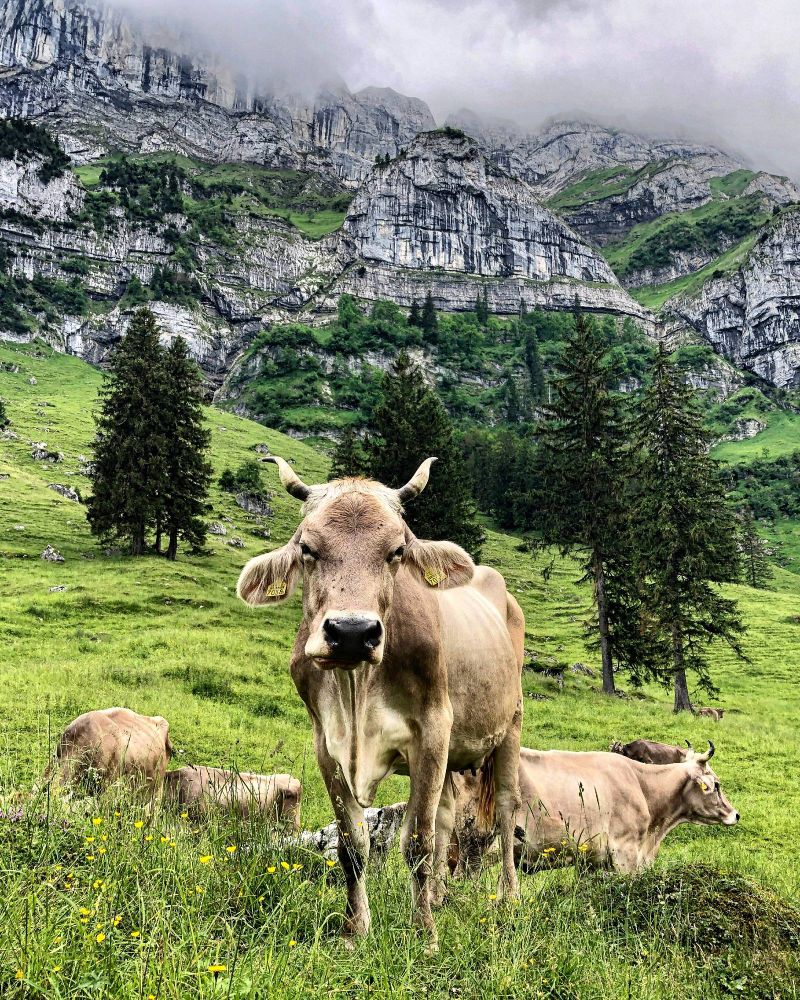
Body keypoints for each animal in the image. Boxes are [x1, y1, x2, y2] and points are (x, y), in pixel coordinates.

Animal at [237, 457, 525, 947]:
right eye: (307, 548)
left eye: (396, 551)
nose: (352, 632)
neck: (357, 691)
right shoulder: (326, 744)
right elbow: (353, 844)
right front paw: (356, 930)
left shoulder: (432, 730)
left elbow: (418, 843)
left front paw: (424, 935)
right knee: (447, 815)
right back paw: (440, 896)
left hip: (510, 726)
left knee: (505, 809)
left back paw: (507, 896)